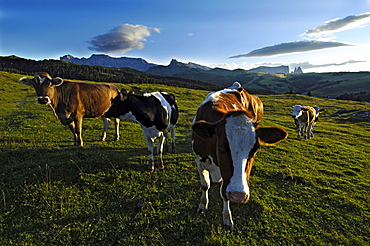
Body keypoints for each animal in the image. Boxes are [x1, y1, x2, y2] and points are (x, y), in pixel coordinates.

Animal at [192, 82, 288, 231]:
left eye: (254, 150)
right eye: (221, 146)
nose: (238, 195)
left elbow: (224, 194)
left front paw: (227, 219)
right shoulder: (198, 160)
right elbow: (205, 185)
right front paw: (203, 205)